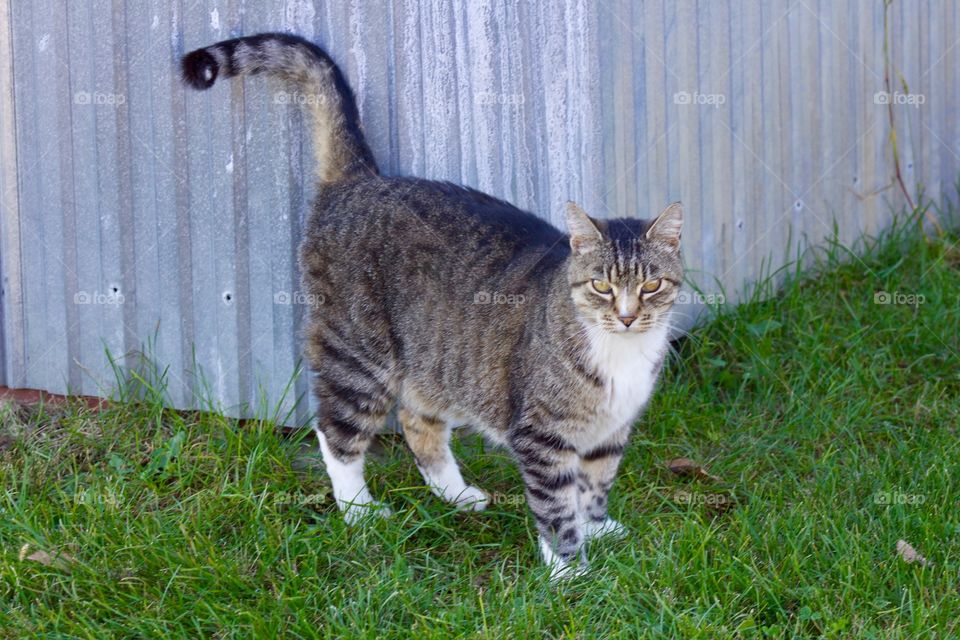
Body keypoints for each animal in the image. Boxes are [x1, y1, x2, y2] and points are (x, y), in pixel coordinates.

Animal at [182, 32, 684, 576]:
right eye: (601, 287)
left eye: (652, 286)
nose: (628, 316)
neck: (620, 355)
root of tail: (361, 180)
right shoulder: (541, 436)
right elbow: (555, 505)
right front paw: (570, 570)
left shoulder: (611, 432)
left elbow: (594, 486)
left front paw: (597, 528)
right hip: (360, 354)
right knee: (335, 431)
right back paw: (358, 510)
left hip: (438, 358)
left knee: (415, 422)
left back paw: (456, 494)